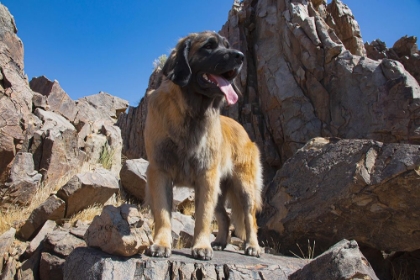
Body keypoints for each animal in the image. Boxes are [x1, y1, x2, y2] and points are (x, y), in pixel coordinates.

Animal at [144, 30, 262, 260]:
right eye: (209, 46)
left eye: (227, 45)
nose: (240, 56)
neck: (191, 113)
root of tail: (244, 131)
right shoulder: (160, 172)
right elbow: (163, 213)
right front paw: (161, 244)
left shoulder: (206, 177)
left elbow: (203, 217)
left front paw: (201, 246)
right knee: (225, 217)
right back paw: (221, 241)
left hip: (244, 187)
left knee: (249, 218)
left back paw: (252, 246)